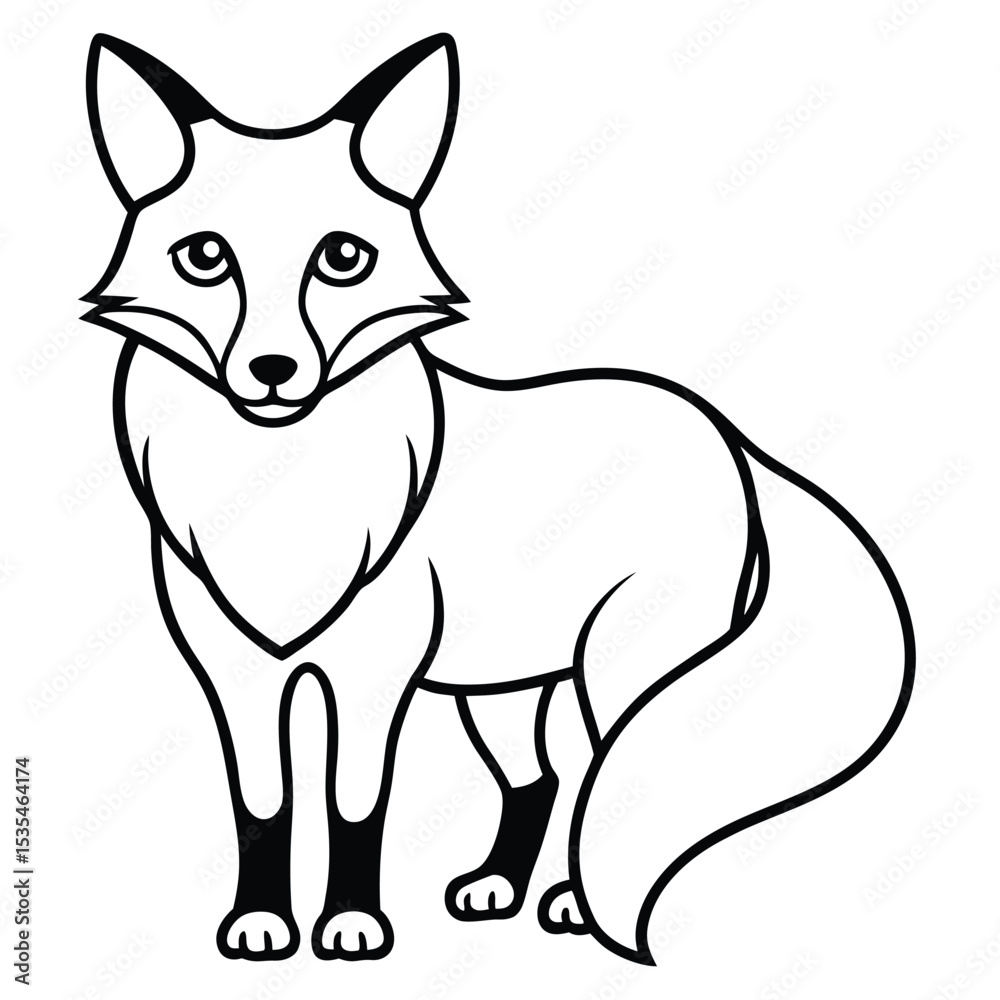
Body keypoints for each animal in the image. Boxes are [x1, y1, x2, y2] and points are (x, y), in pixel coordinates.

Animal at [82, 32, 914, 964]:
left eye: (342, 259)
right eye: (205, 258)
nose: (272, 371)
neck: (289, 499)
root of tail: (726, 431)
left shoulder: (376, 676)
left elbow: (353, 808)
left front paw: (352, 926)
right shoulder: (234, 673)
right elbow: (261, 810)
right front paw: (259, 925)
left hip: (616, 676)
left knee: (596, 779)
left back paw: (570, 903)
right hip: (499, 692)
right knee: (541, 779)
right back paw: (500, 889)